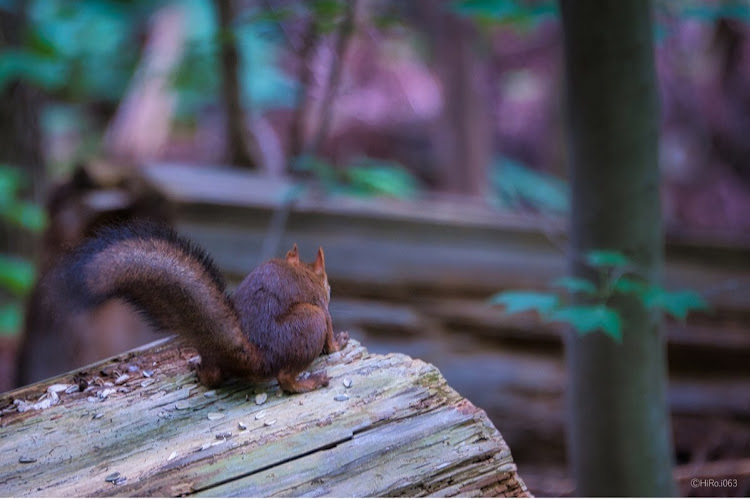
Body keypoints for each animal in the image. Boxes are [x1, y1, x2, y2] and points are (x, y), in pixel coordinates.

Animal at [25, 224, 350, 394]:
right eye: (328, 283)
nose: (330, 288)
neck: (303, 273)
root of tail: (253, 355)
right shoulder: (323, 310)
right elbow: (330, 337)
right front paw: (339, 343)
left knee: (215, 376)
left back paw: (199, 370)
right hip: (311, 320)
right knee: (285, 379)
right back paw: (311, 381)